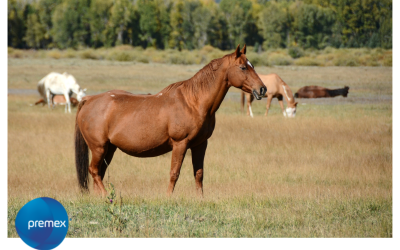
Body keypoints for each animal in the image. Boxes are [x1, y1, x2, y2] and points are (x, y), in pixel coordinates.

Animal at [75, 45, 268, 197]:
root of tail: (89, 99)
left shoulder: (200, 144)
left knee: (99, 172)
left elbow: (199, 173)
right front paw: (168, 197)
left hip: (109, 148)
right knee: (94, 171)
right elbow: (174, 173)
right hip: (99, 148)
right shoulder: (180, 144)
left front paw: (200, 199)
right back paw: (107, 196)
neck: (193, 102)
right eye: (243, 67)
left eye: (252, 66)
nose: (262, 89)